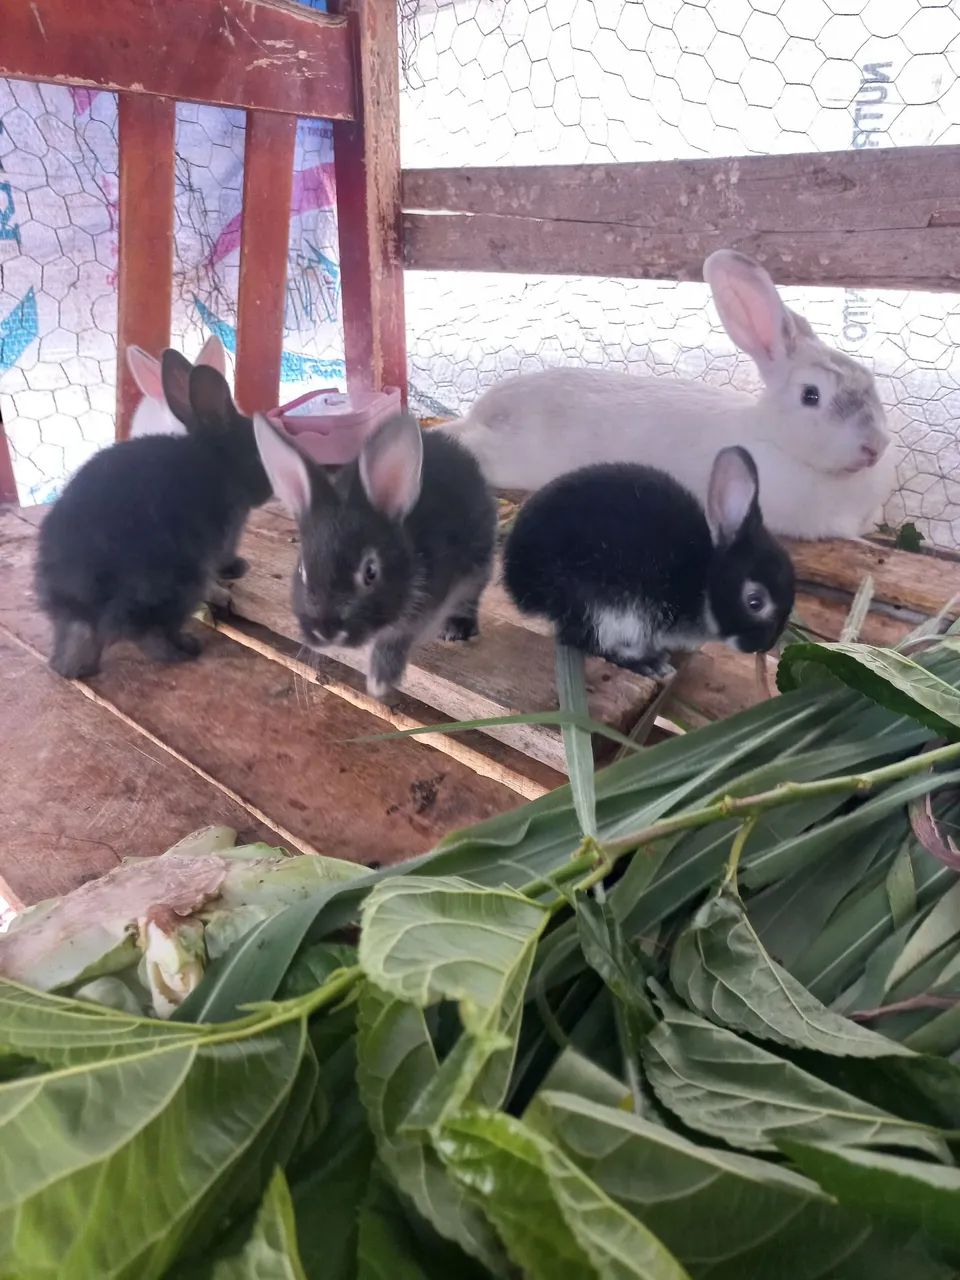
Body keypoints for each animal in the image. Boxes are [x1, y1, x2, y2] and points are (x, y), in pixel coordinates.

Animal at [36, 351, 272, 680]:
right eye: (258, 455)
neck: (216, 460)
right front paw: (234, 574)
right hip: (176, 584)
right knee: (151, 634)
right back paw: (187, 648)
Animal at [252, 410, 497, 701]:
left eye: (371, 572)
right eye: (302, 570)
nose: (326, 631)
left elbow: (397, 636)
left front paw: (379, 681)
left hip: (479, 562)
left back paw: (456, 628)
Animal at [503, 445, 795, 680]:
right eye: (755, 602)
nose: (764, 646)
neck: (703, 581)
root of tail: (518, 577)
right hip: (597, 605)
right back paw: (649, 664)